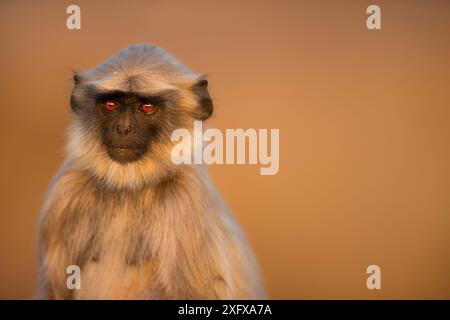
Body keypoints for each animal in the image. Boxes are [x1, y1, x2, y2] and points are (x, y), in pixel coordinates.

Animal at [37, 43, 266, 298]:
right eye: (111, 105)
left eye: (146, 107)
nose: (123, 129)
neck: (128, 189)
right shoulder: (65, 191)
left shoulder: (188, 196)